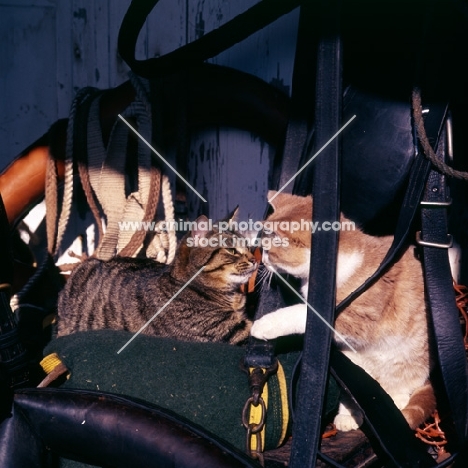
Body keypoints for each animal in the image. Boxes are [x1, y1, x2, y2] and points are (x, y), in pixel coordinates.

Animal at [250, 191, 436, 432]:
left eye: (269, 251)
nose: (262, 261)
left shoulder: (357, 318)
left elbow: (299, 313)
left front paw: (264, 324)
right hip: (355, 365)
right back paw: (349, 417)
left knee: (399, 390)